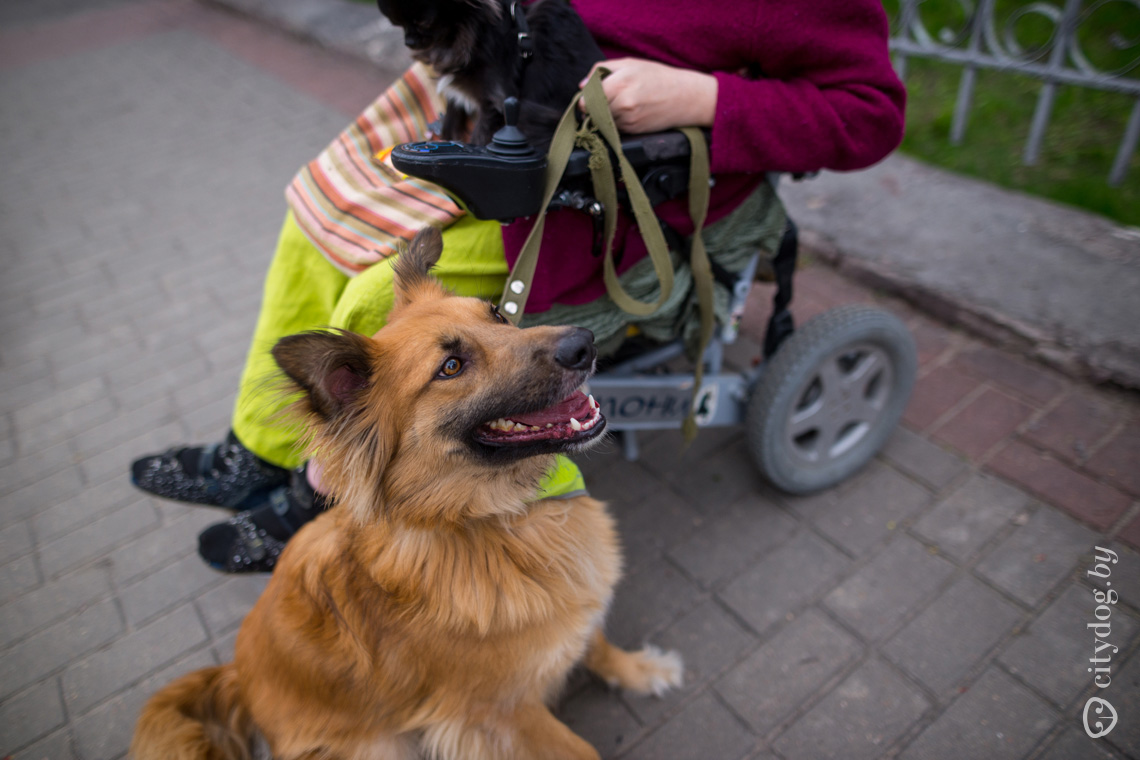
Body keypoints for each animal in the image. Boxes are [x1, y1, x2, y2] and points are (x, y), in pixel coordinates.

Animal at [133, 227, 684, 760]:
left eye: (497, 315)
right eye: (451, 367)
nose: (583, 344)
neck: (492, 517)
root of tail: (237, 678)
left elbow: (596, 641)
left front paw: (640, 671)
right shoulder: (495, 716)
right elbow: (581, 746)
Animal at [376, 0, 606, 152]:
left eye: (424, 23)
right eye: (398, 24)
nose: (409, 41)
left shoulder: (495, 103)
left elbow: (479, 140)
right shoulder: (456, 94)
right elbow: (450, 122)